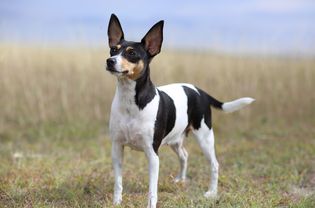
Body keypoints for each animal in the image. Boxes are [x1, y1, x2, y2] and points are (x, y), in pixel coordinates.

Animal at [105, 13, 254, 207]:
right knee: (184, 155)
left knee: (214, 165)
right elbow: (118, 182)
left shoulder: (152, 154)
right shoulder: (117, 148)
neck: (131, 102)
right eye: (113, 50)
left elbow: (152, 189)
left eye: (131, 53)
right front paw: (116, 202)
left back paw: (211, 192)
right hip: (176, 140)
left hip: (205, 138)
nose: (110, 61)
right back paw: (181, 179)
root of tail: (200, 91)